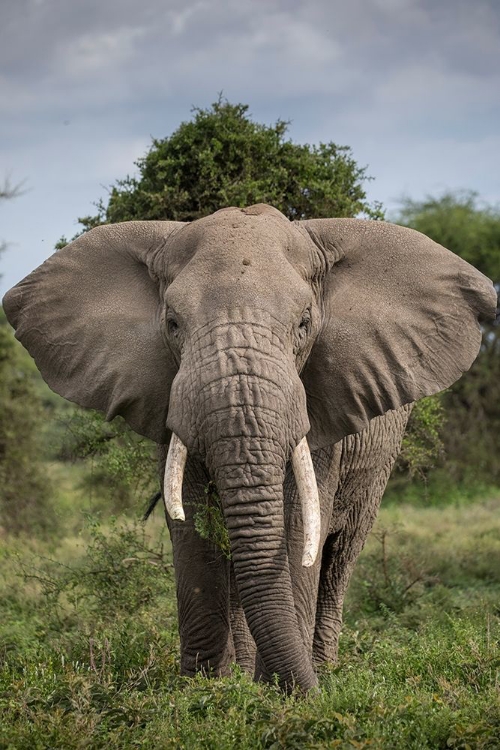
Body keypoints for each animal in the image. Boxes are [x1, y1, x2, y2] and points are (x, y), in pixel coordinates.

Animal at [2, 204, 496, 692]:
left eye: (304, 324)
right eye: (173, 324)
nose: (308, 694)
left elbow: (298, 524)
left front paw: (280, 693)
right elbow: (192, 521)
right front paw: (203, 690)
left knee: (340, 556)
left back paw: (321, 669)